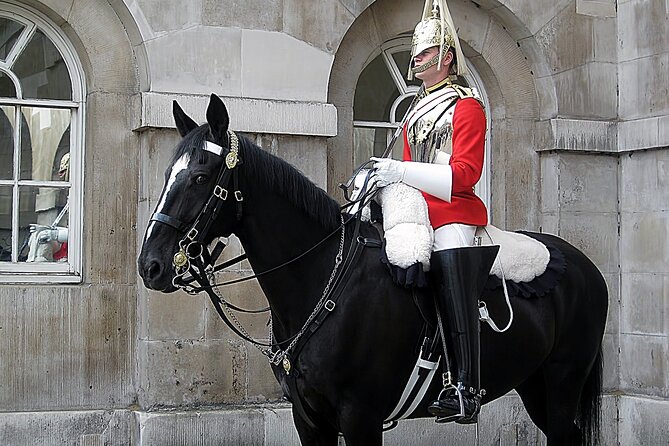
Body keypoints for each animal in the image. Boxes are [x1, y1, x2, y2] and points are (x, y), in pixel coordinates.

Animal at [138, 92, 608, 444]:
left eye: (201, 176)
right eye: (166, 174)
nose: (150, 266)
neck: (322, 281)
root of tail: (584, 264)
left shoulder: (360, 416)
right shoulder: (309, 419)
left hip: (563, 381)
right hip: (533, 383)